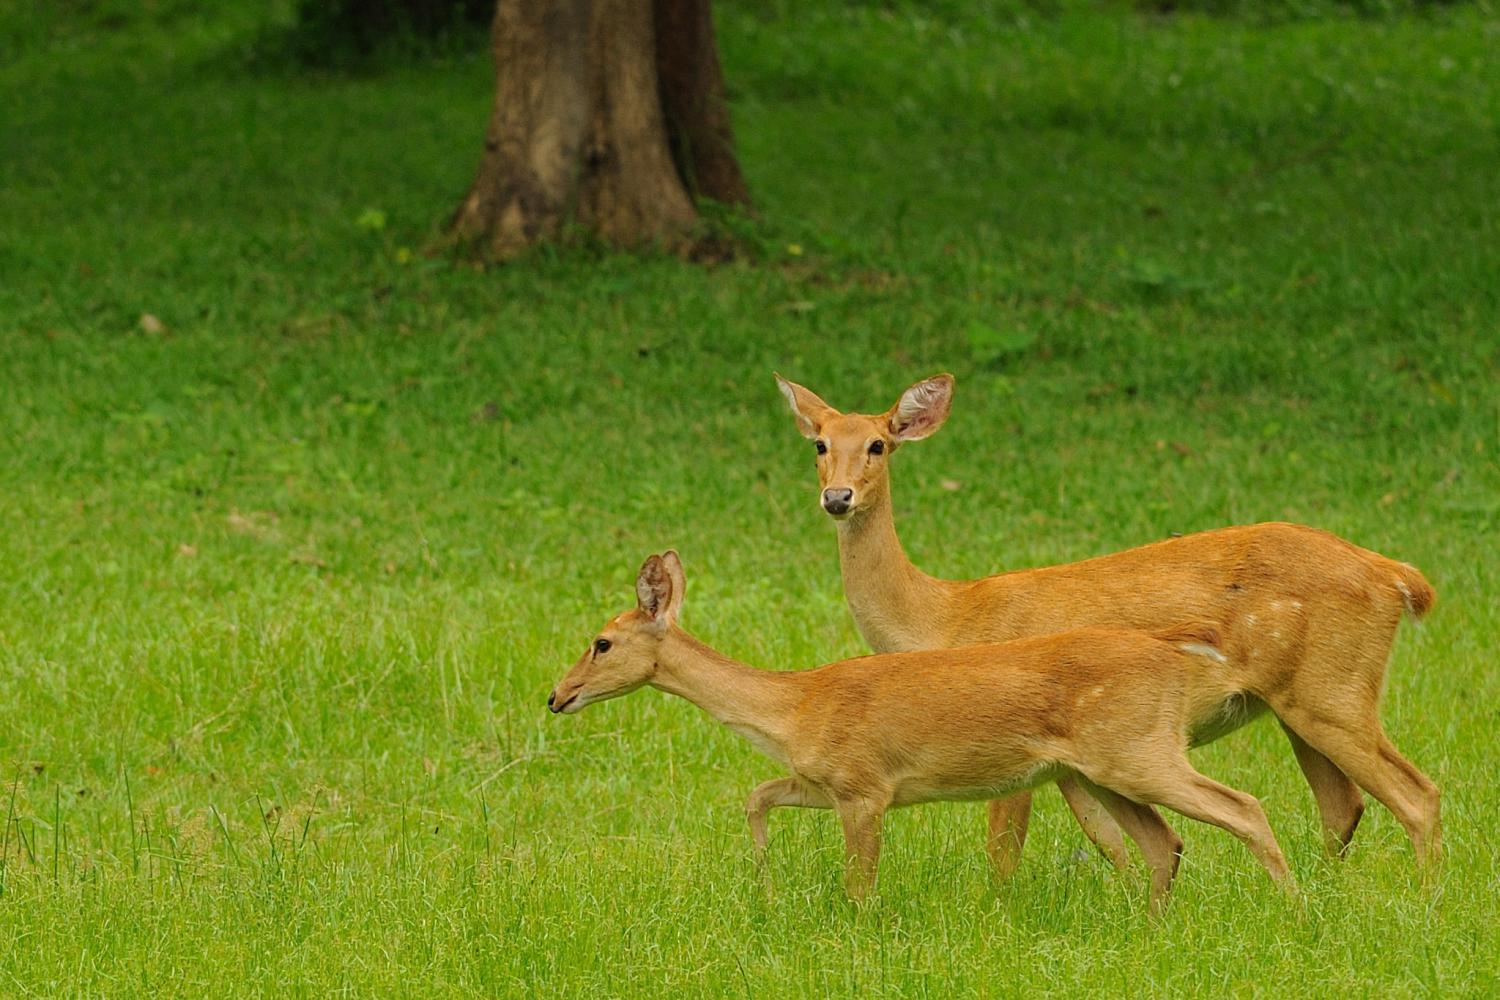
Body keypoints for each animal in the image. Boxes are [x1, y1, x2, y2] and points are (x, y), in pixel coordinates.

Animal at [546, 551, 1296, 911]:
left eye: (601, 642)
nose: (556, 696)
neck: (795, 705)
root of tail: (1173, 655)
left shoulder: (865, 786)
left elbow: (859, 882)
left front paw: (856, 930)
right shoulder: (824, 780)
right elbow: (757, 795)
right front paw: (764, 882)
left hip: (1137, 750)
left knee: (1244, 806)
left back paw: (1297, 912)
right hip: (1104, 768)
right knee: (1164, 842)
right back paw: (1153, 926)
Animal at [774, 373, 1440, 875]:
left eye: (878, 445)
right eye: (819, 445)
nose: (838, 498)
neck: (946, 617)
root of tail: (1396, 576)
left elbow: (1005, 850)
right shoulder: (1073, 761)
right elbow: (1112, 840)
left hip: (1334, 689)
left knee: (1417, 794)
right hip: (1296, 701)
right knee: (1343, 804)